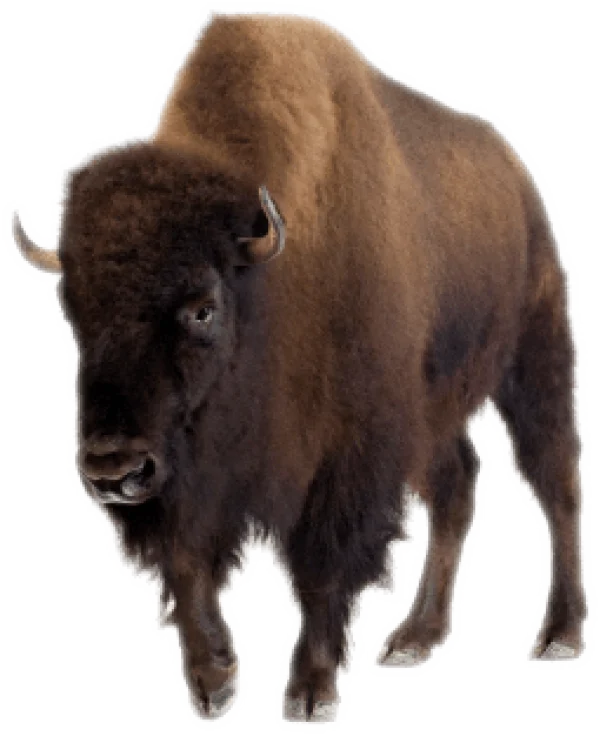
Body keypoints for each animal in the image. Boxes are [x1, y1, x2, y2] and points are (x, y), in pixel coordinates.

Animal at [13, 12, 586, 723]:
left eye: (202, 308)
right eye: (70, 306)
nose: (112, 470)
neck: (266, 281)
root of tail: (518, 174)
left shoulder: (347, 451)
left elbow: (321, 564)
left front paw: (310, 693)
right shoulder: (187, 466)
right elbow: (186, 555)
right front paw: (214, 683)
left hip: (535, 356)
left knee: (556, 478)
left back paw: (559, 634)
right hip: (431, 411)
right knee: (459, 484)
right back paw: (414, 637)